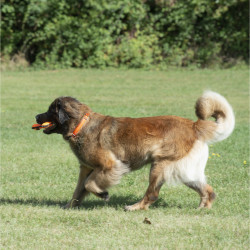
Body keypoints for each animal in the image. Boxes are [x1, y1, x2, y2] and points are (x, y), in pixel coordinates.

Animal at [35, 91, 234, 210]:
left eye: (50, 110)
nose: (36, 116)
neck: (81, 124)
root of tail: (194, 125)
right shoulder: (86, 168)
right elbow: (79, 190)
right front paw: (69, 206)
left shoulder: (110, 165)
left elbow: (89, 184)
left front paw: (103, 194)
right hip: (183, 171)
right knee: (208, 190)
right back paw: (202, 208)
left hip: (160, 166)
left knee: (152, 194)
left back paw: (135, 207)